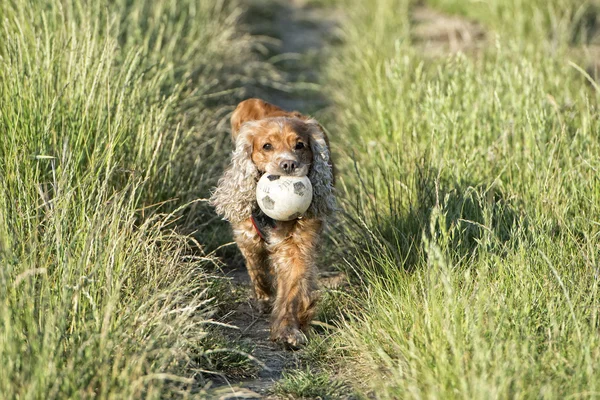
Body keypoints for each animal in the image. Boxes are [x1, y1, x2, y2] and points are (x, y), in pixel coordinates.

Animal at [211, 98, 336, 348]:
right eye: (266, 146)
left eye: (300, 145)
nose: (288, 164)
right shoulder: (246, 233)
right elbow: (256, 267)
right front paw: (265, 297)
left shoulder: (297, 245)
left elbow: (292, 287)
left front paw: (288, 330)